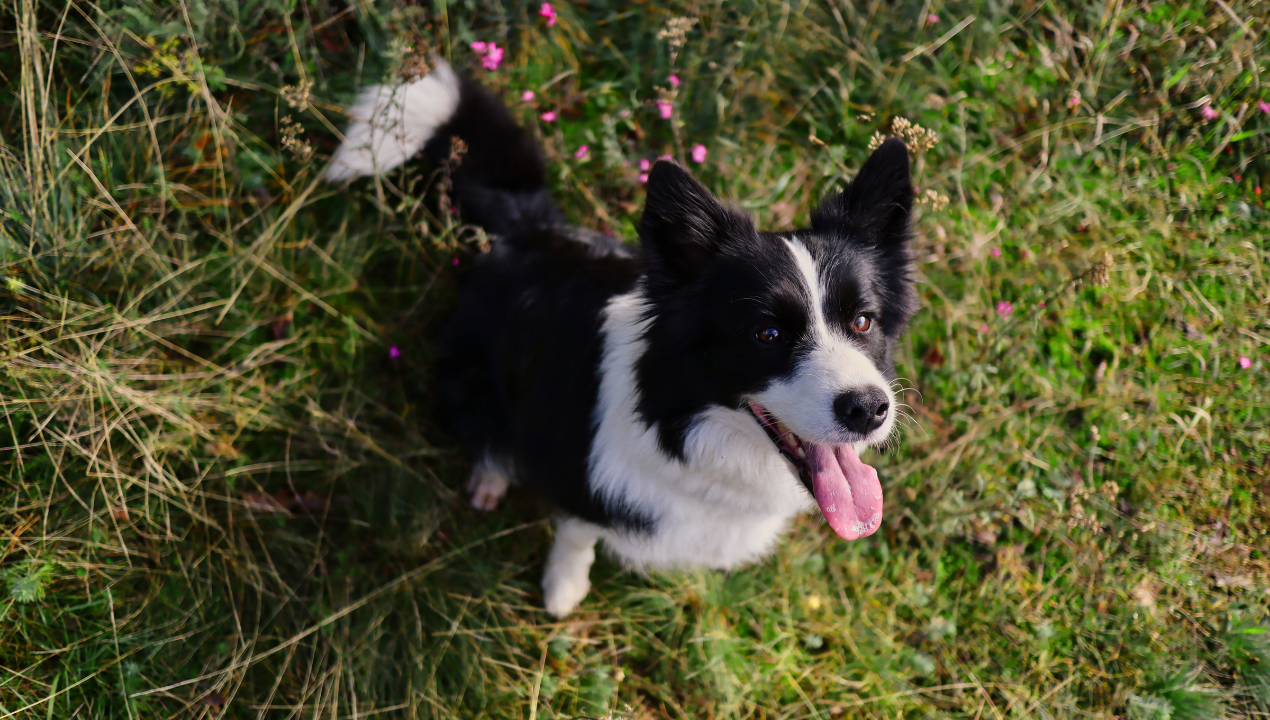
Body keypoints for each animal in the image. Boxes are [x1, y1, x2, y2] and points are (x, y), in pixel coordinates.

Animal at [327, 59, 919, 617]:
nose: (868, 410)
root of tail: (527, 228)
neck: (681, 430)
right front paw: (563, 588)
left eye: (862, 321)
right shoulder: (581, 474)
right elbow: (577, 531)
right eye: (768, 333)